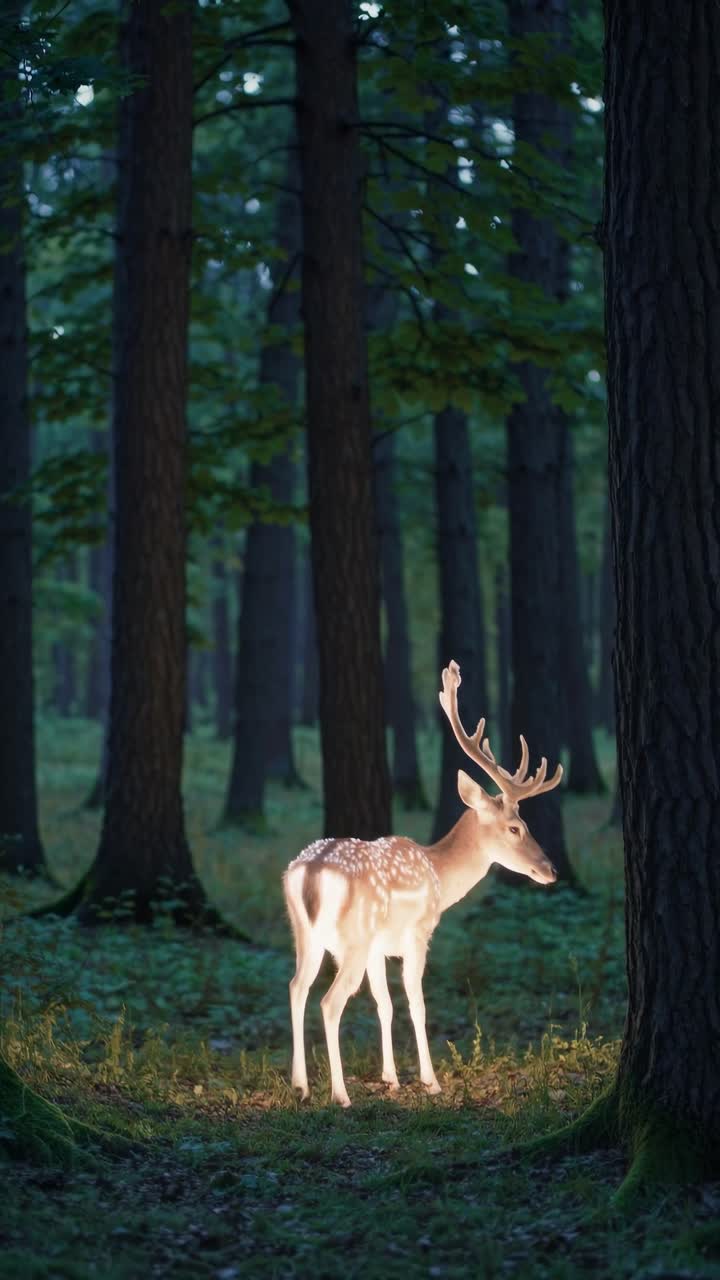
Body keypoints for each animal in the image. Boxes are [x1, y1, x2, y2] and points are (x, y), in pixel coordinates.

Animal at [283, 659, 563, 1107]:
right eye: (516, 827)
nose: (551, 869)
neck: (439, 874)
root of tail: (307, 873)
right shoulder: (417, 933)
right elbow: (416, 1003)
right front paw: (430, 1080)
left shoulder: (379, 947)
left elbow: (383, 1004)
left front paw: (391, 1078)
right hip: (353, 937)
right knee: (329, 1001)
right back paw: (340, 1094)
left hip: (305, 935)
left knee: (296, 987)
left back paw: (301, 1085)